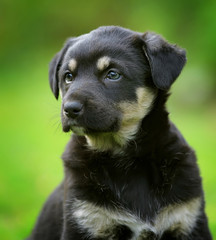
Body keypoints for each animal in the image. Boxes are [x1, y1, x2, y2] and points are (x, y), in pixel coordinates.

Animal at [27, 25, 212, 238]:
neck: (127, 160)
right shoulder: (84, 218)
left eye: (113, 74)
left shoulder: (190, 219)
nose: (70, 109)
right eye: (68, 77)